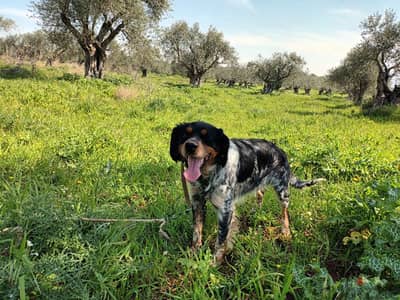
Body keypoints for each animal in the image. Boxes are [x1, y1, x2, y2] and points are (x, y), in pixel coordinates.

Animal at [170, 120, 324, 264]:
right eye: (185, 134)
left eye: (206, 137)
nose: (190, 146)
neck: (209, 174)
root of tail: (280, 150)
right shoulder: (197, 202)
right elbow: (197, 231)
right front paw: (193, 253)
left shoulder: (225, 209)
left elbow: (221, 240)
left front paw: (215, 262)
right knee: (260, 194)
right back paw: (256, 212)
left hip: (282, 191)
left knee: (284, 211)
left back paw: (285, 231)